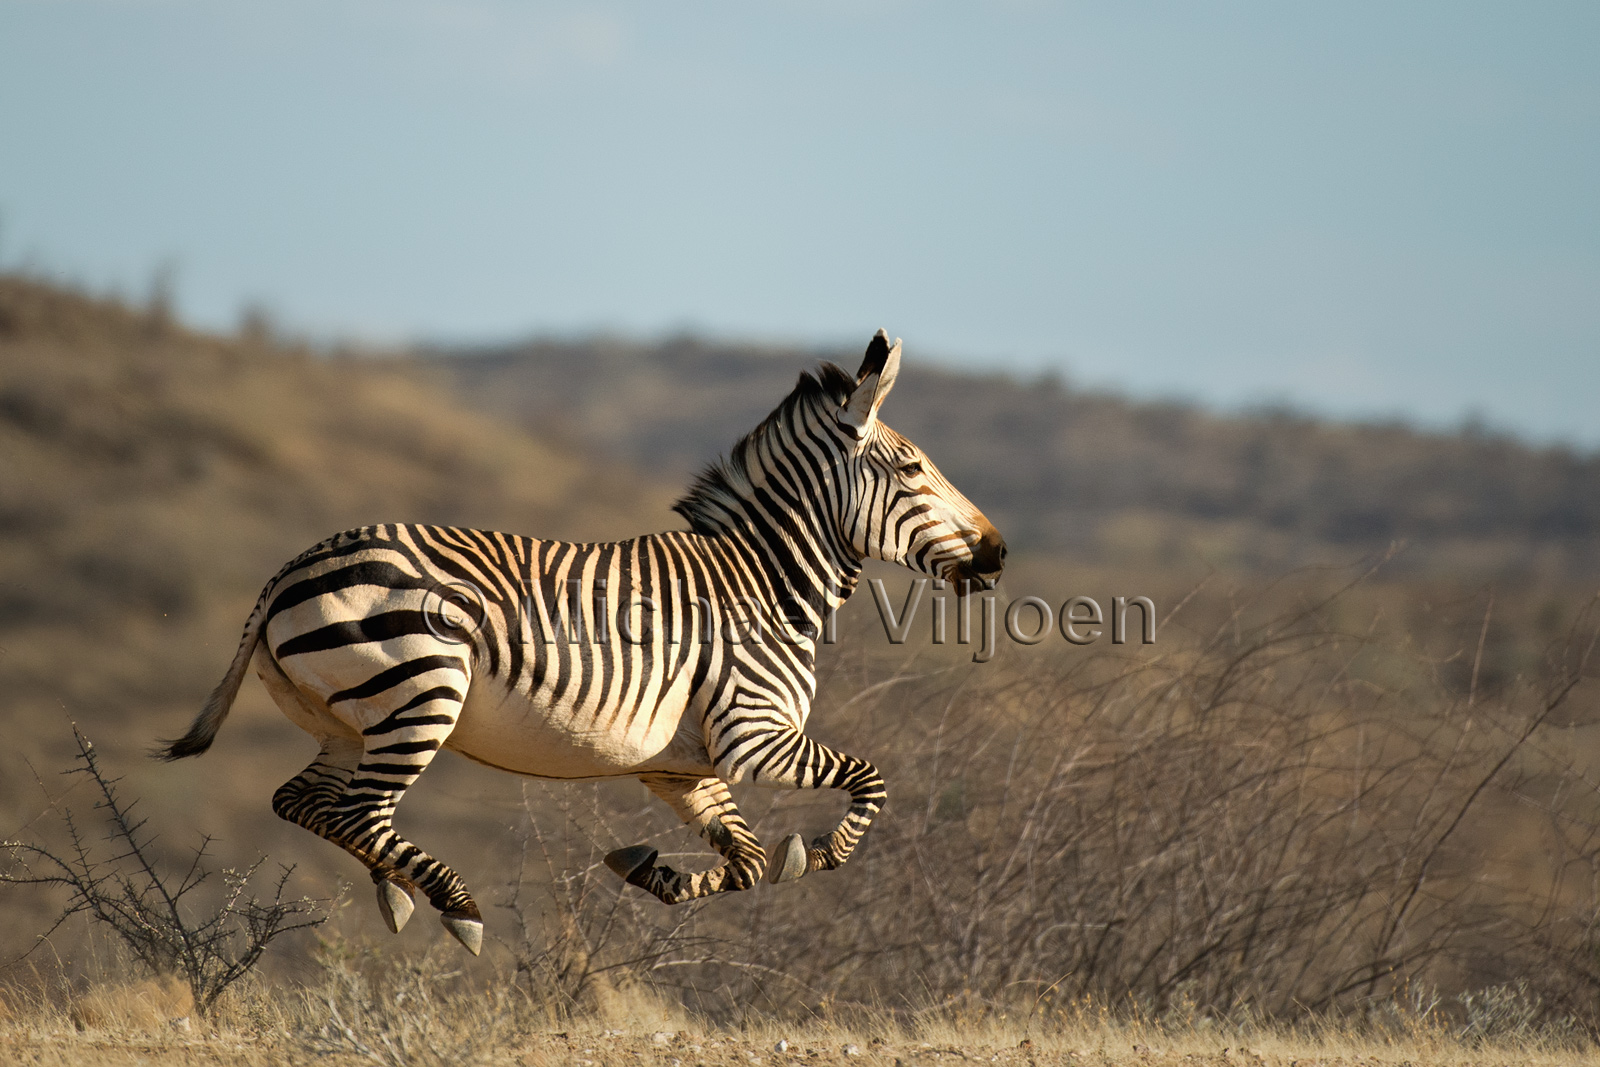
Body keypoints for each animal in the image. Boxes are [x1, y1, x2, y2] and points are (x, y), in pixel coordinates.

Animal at [160, 330, 1006, 955]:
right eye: (912, 469)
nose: (999, 554)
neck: (764, 581)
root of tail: (289, 569)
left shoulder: (679, 766)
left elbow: (747, 860)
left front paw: (652, 871)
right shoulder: (754, 735)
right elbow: (869, 781)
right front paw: (822, 853)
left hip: (347, 721)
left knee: (304, 801)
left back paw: (398, 890)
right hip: (419, 692)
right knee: (360, 812)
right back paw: (449, 902)